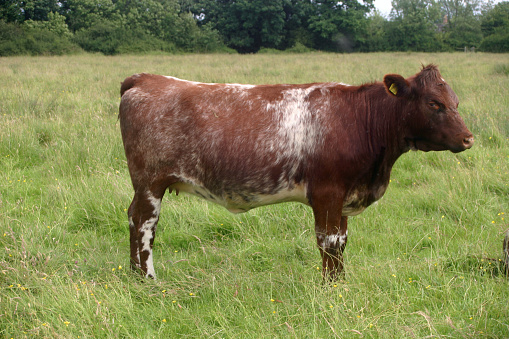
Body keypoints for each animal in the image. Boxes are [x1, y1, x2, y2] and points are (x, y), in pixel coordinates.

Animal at [118, 64, 472, 282]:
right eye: (433, 103)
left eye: (455, 101)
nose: (468, 138)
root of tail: (147, 78)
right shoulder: (328, 192)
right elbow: (329, 242)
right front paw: (331, 288)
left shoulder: (344, 196)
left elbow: (342, 241)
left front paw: (341, 282)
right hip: (150, 182)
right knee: (144, 224)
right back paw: (148, 278)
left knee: (133, 217)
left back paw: (135, 276)